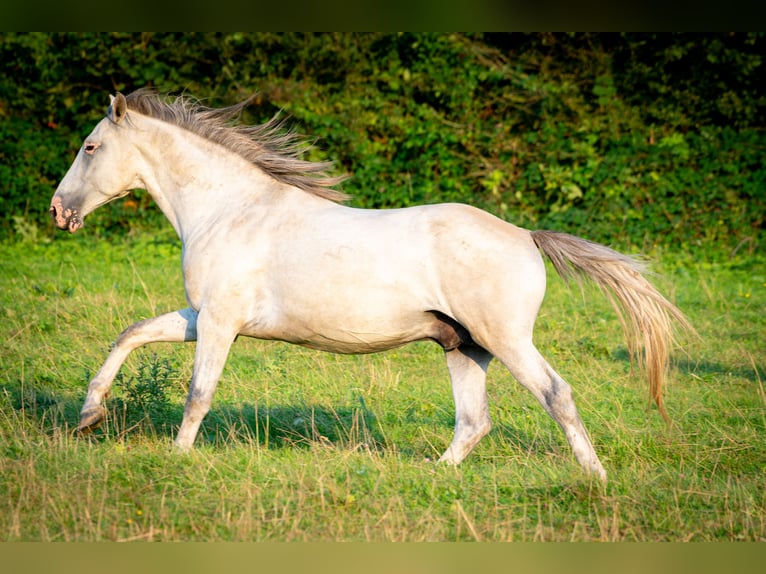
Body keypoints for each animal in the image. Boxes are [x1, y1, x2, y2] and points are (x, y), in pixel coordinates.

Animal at [51, 90, 692, 482]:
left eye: (90, 147)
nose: (59, 211)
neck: (230, 209)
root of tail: (527, 236)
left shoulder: (219, 322)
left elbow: (198, 394)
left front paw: (179, 457)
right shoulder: (200, 316)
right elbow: (130, 334)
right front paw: (88, 417)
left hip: (504, 339)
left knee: (555, 394)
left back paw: (596, 477)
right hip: (464, 347)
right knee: (474, 421)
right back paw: (435, 475)